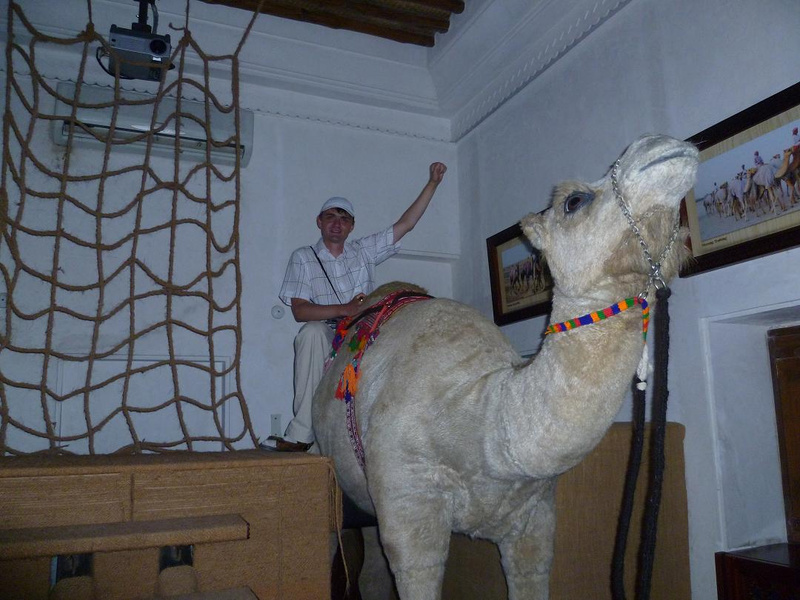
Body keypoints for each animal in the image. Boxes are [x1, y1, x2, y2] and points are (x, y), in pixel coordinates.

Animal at [313, 134, 699, 600]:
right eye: (574, 200)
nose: (660, 144)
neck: (482, 421)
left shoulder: (534, 519)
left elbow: (531, 571)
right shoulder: (408, 506)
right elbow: (413, 565)